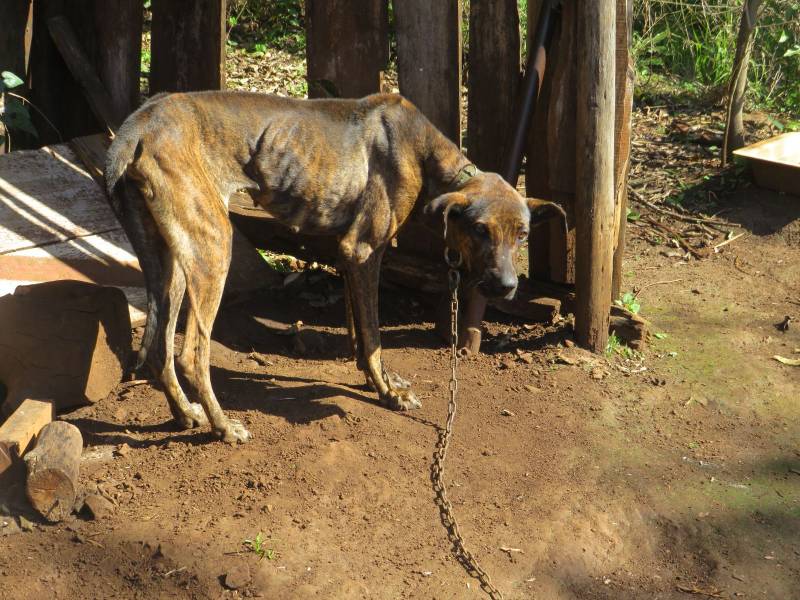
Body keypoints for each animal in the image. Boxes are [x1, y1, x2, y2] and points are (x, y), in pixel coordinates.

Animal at [104, 91, 564, 442]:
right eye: (481, 230)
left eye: (523, 234)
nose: (505, 287)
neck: (423, 150)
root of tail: (136, 127)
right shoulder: (363, 251)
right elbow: (374, 337)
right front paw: (388, 395)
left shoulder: (348, 257)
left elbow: (359, 333)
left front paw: (377, 381)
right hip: (213, 247)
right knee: (190, 355)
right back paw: (222, 427)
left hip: (168, 261)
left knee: (159, 349)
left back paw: (186, 414)